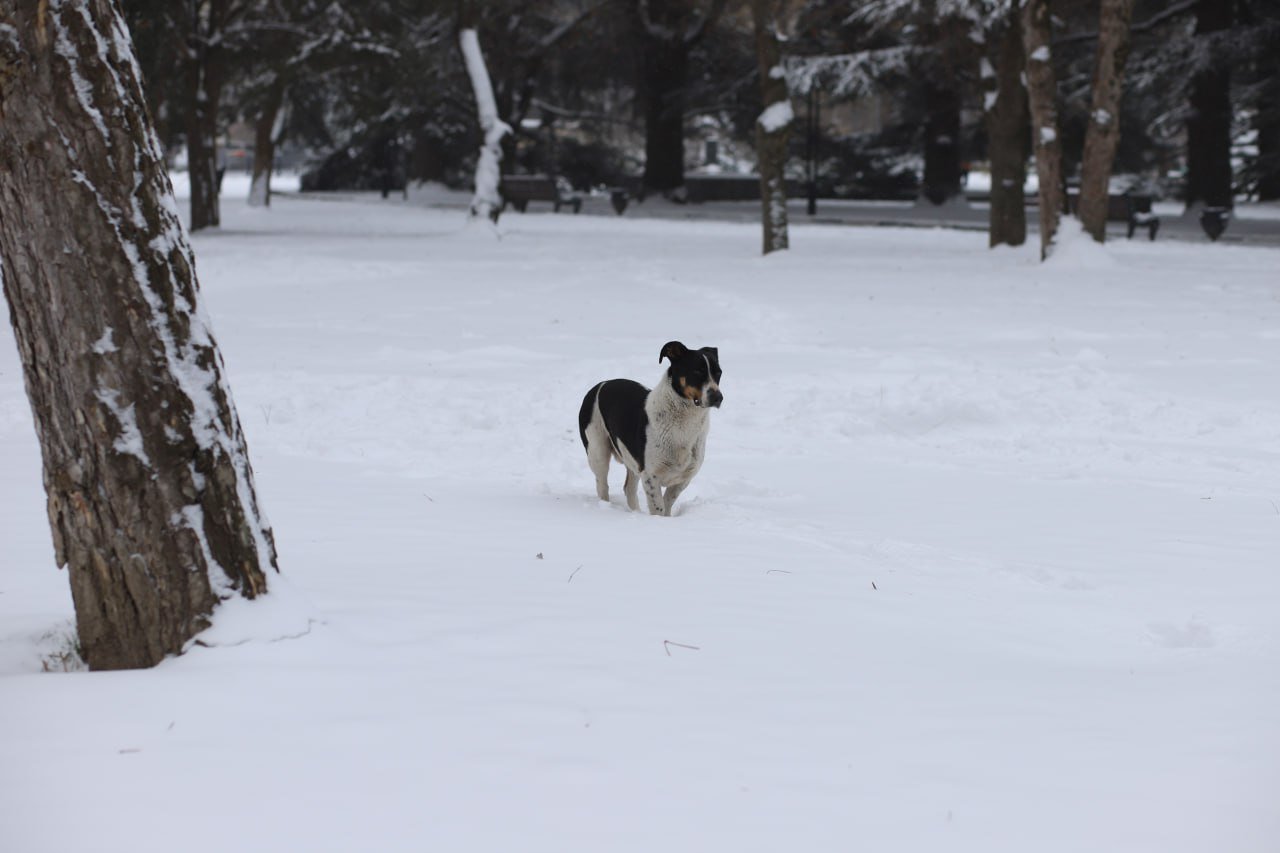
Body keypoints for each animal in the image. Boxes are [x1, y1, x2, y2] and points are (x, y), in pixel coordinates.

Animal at [578, 338, 721, 512]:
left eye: (719, 373)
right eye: (697, 372)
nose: (718, 397)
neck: (684, 424)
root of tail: (600, 384)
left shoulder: (683, 478)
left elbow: (667, 505)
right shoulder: (651, 476)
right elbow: (658, 508)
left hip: (631, 459)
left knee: (629, 489)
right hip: (597, 452)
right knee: (602, 485)